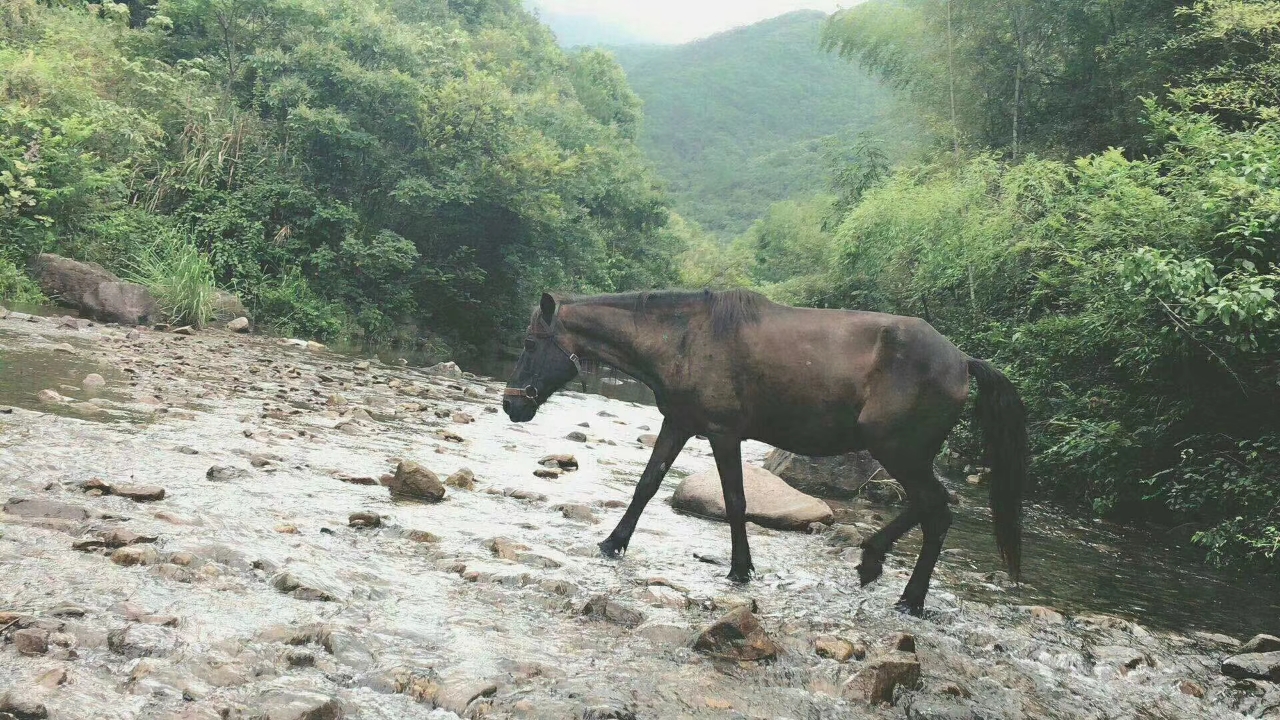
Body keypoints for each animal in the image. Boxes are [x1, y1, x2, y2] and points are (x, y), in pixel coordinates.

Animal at [501, 288, 1029, 614]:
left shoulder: (722, 433)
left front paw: (740, 569)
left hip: (900, 451)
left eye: (529, 344)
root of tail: (962, 359)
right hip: (904, 454)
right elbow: (647, 484)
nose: (511, 404)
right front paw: (613, 542)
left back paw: (910, 598)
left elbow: (736, 500)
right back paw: (873, 561)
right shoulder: (678, 423)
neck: (685, 338)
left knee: (936, 511)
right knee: (928, 508)